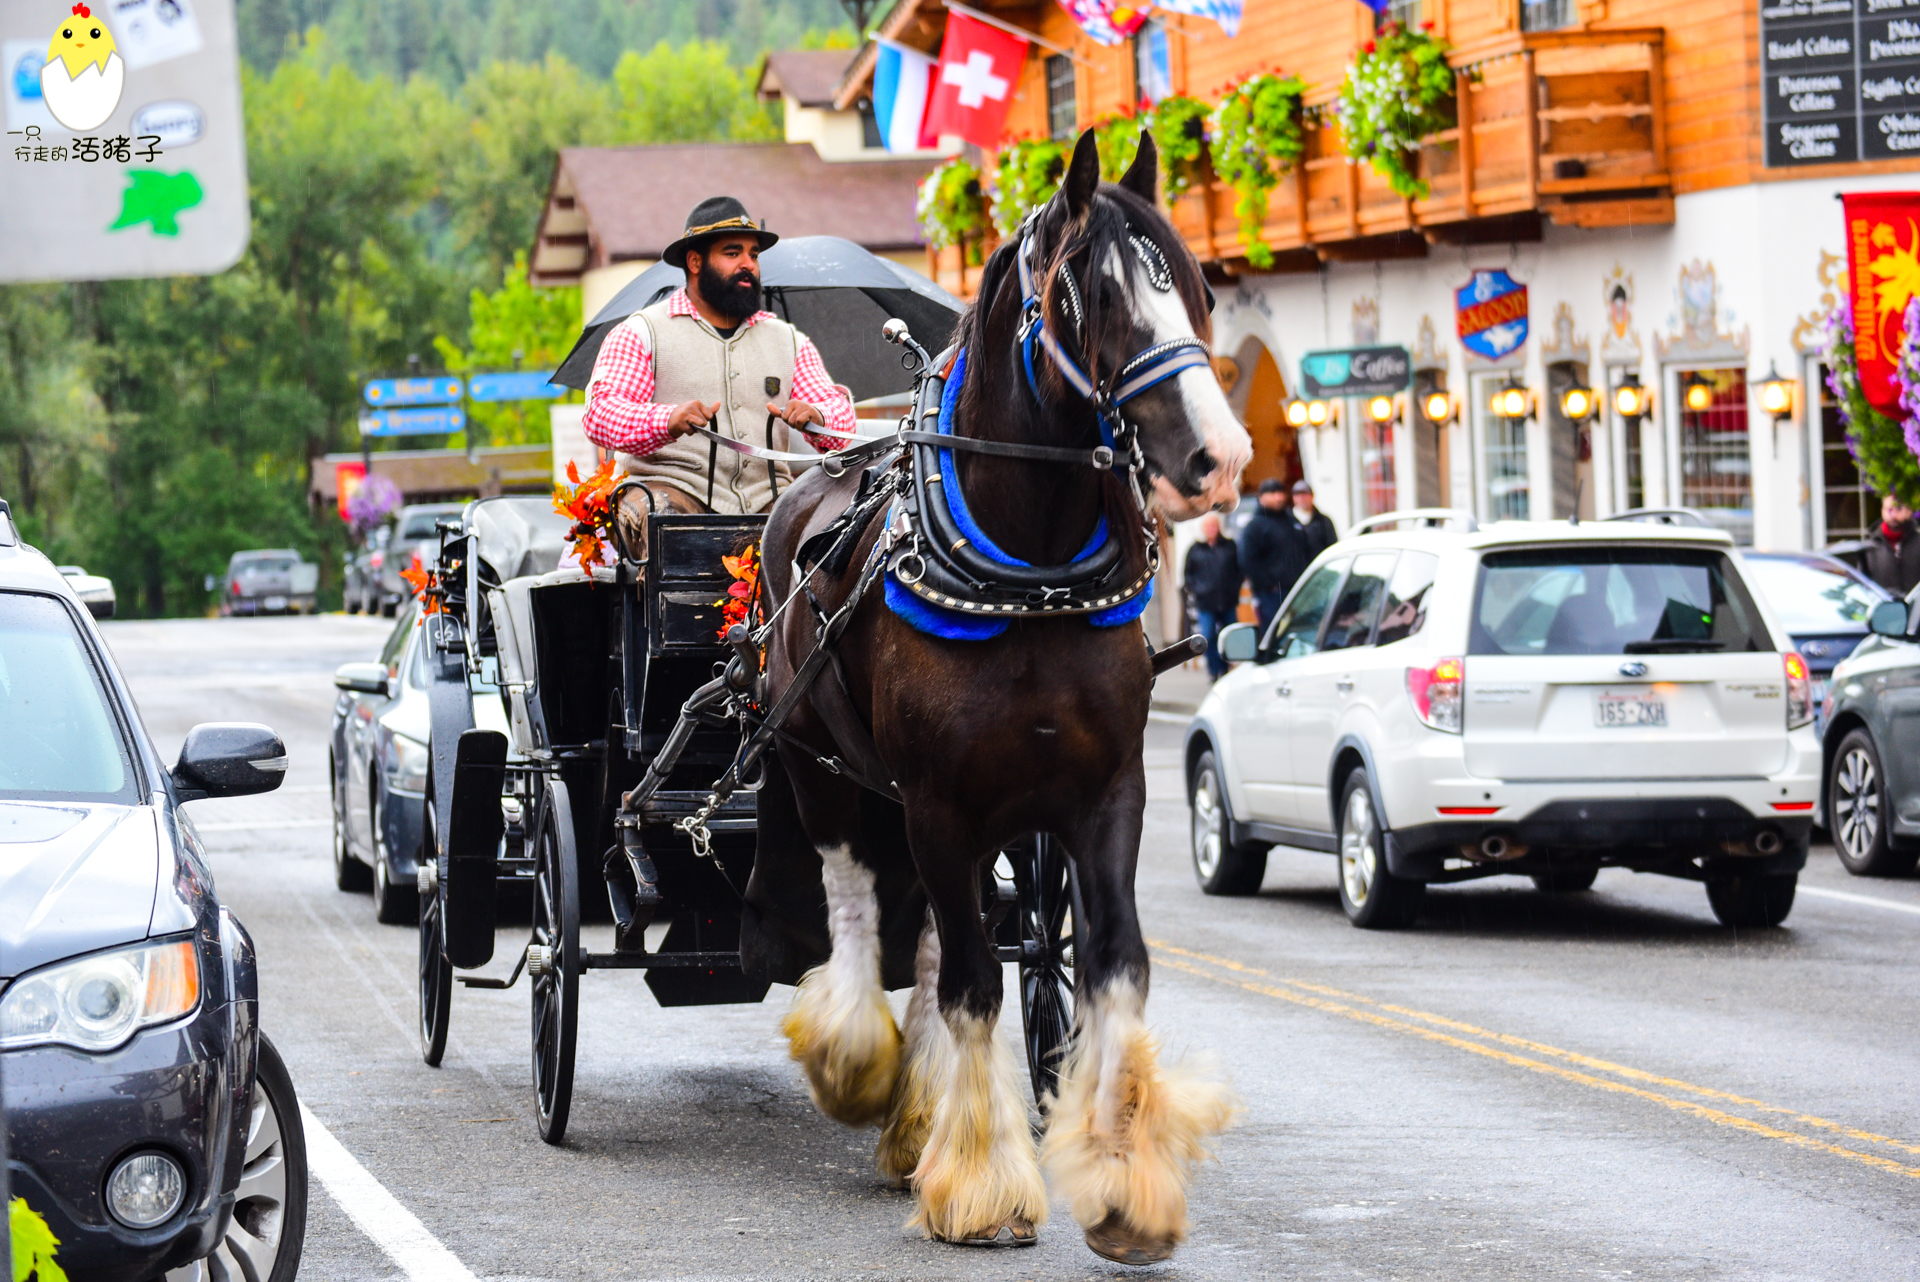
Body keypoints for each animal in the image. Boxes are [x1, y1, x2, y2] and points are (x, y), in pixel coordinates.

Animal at [741, 130, 1251, 1258]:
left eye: (1197, 288)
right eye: (1091, 295)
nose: (1219, 455)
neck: (1032, 568)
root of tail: (812, 474)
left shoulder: (1105, 793)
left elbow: (1108, 961)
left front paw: (1123, 1182)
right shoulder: (938, 800)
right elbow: (973, 980)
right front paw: (981, 1187)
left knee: (938, 938)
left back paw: (917, 1119)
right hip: (824, 769)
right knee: (858, 903)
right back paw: (860, 1062)